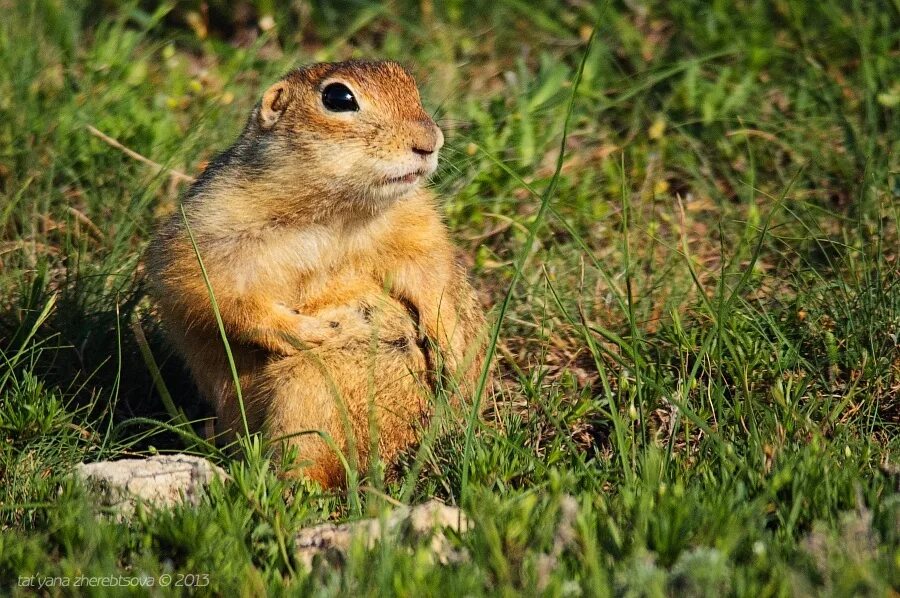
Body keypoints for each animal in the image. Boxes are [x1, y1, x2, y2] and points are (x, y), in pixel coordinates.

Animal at [146, 61, 492, 490]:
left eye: (408, 81)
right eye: (338, 98)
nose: (431, 142)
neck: (335, 213)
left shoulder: (417, 227)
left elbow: (433, 278)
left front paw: (450, 351)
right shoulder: (209, 233)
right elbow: (209, 294)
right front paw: (310, 331)